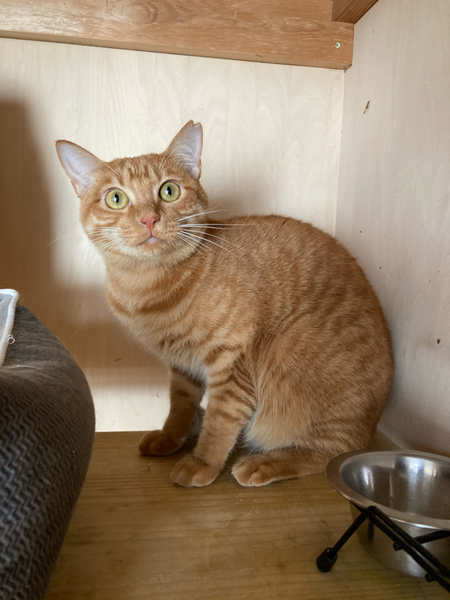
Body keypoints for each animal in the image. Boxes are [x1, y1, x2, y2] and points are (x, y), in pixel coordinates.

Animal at [56, 121, 394, 488]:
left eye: (169, 191)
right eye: (115, 198)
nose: (148, 219)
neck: (148, 288)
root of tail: (374, 425)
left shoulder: (231, 362)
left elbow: (220, 420)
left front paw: (202, 462)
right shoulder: (183, 367)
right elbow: (181, 405)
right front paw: (172, 436)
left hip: (289, 347)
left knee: (331, 452)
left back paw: (265, 462)